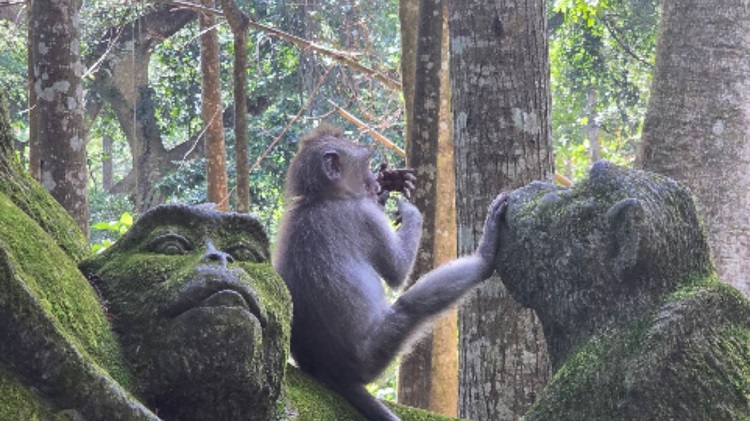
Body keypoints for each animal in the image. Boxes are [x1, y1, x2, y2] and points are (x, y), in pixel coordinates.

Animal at [272, 125, 508, 421]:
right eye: (364, 164)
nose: (374, 184)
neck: (319, 198)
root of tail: (331, 373)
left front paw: (390, 183)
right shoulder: (364, 216)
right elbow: (397, 272)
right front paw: (410, 210)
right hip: (372, 355)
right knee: (410, 308)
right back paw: (484, 258)